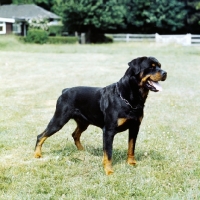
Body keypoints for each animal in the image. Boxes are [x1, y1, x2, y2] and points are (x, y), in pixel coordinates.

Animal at [34, 56, 167, 175]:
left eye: (160, 66)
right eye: (151, 67)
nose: (165, 73)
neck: (129, 98)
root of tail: (65, 90)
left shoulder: (135, 127)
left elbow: (131, 147)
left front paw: (131, 163)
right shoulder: (108, 131)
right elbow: (108, 153)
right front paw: (109, 171)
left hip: (83, 122)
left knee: (75, 134)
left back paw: (82, 150)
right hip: (59, 120)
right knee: (41, 136)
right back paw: (37, 154)